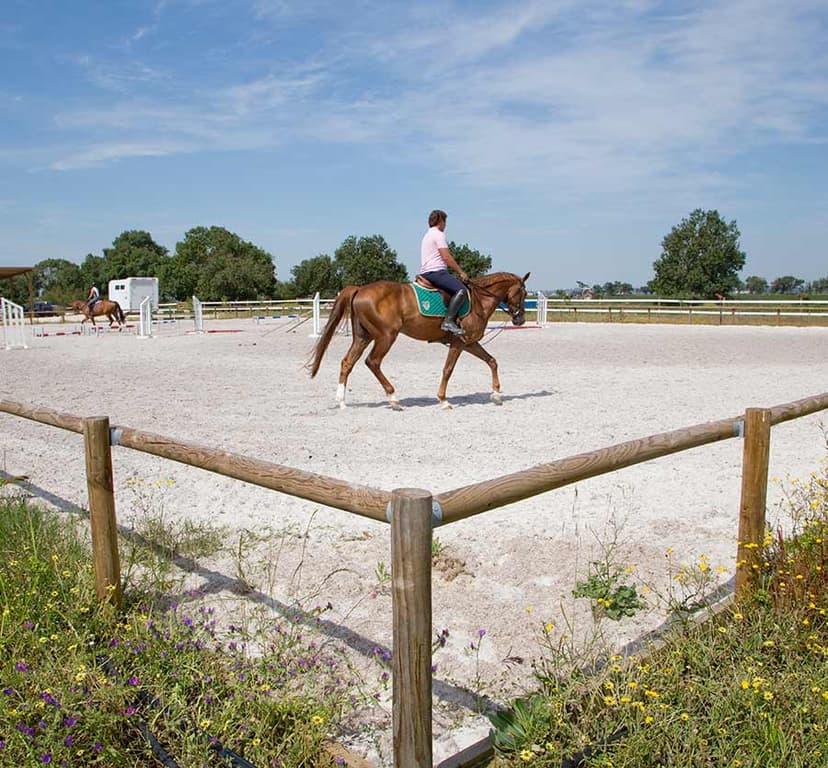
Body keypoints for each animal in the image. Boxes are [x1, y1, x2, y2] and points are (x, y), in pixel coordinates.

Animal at [310, 272, 532, 412]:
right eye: (523, 293)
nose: (520, 320)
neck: (479, 300)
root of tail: (360, 289)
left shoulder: (469, 343)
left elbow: (492, 361)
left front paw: (496, 395)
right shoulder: (459, 344)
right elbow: (448, 369)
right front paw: (443, 400)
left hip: (364, 337)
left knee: (348, 362)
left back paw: (342, 402)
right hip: (386, 336)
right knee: (372, 362)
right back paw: (393, 399)